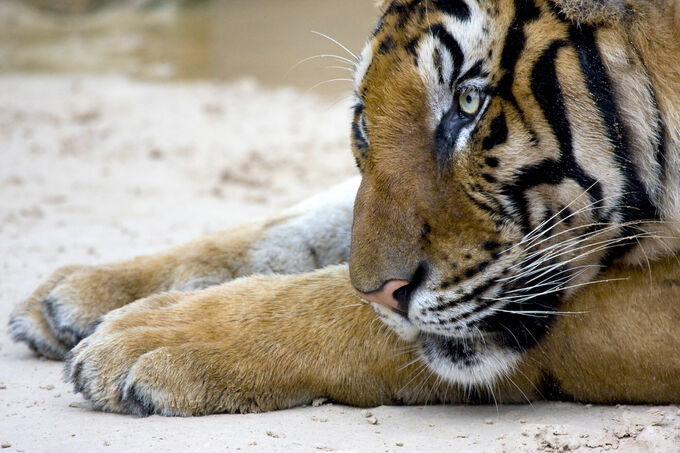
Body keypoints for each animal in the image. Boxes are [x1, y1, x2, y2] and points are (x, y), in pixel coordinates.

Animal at [8, 0, 680, 416]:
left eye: (468, 103)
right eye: (362, 120)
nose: (382, 288)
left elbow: (343, 306)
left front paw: (148, 334)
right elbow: (300, 223)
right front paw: (81, 292)